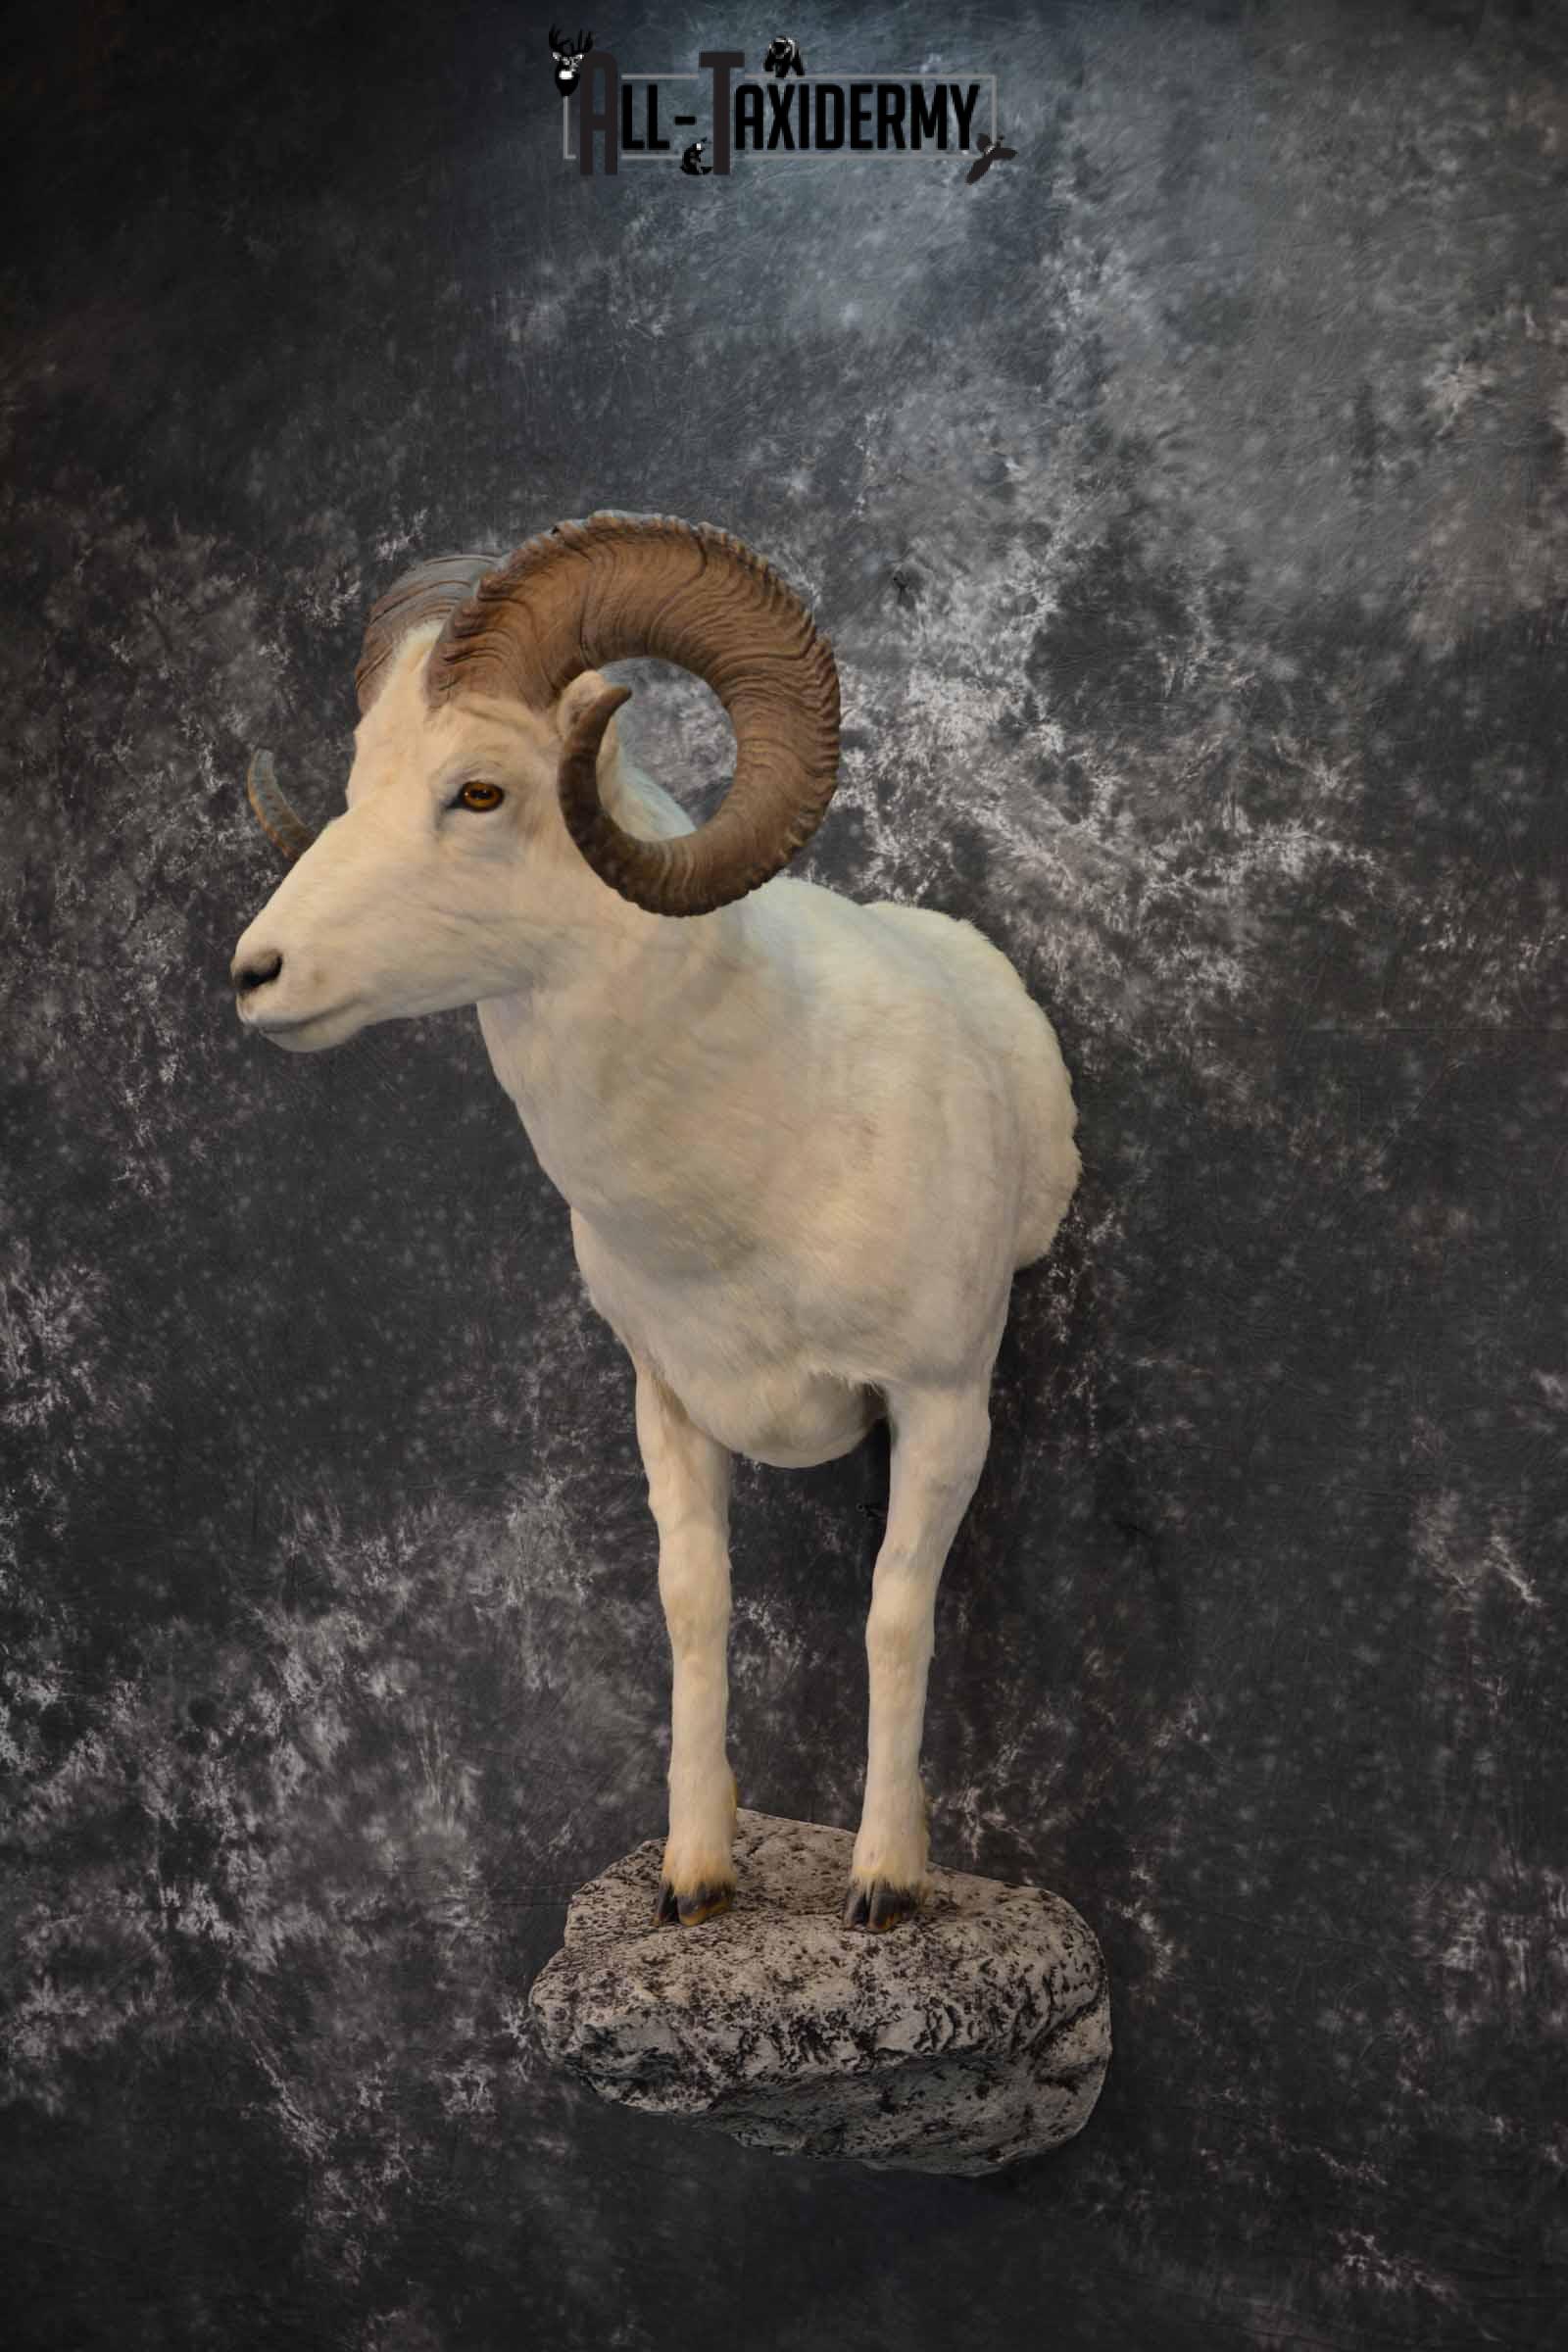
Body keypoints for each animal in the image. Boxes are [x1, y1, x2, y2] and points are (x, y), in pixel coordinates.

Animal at [232, 512, 1081, 1932]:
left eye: (479, 792)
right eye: (358, 779)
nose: (257, 976)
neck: (751, 1178)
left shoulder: (942, 1407)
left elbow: (894, 1614)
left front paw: (883, 1884)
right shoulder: (670, 1404)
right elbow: (694, 1608)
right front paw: (695, 1878)